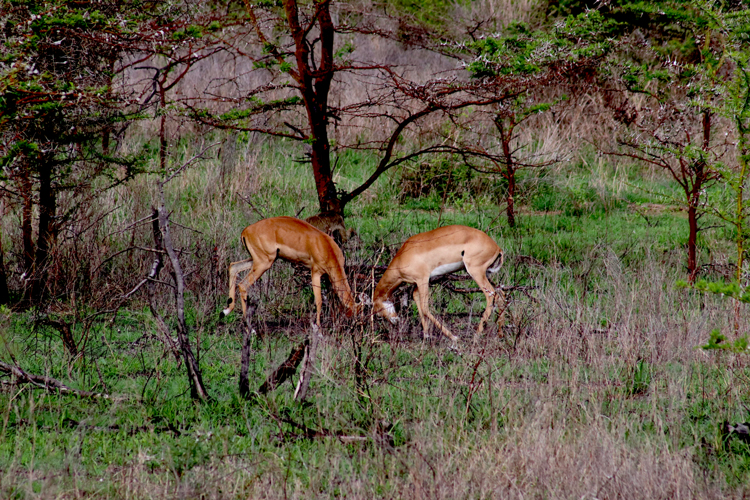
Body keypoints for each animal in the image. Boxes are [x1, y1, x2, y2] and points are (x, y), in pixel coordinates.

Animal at [222, 217, 360, 326]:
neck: (326, 247)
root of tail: (246, 231)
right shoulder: (315, 272)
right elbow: (319, 301)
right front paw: (319, 327)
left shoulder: (327, 277)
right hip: (263, 264)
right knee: (243, 284)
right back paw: (249, 327)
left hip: (256, 261)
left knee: (233, 267)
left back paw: (226, 311)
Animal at [374, 226, 508, 340]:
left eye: (379, 310)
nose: (394, 321)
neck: (403, 256)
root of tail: (497, 248)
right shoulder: (418, 283)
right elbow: (416, 298)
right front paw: (426, 335)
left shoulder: (422, 279)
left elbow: (424, 308)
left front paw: (453, 337)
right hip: (487, 274)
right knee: (500, 293)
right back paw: (500, 334)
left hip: (476, 272)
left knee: (491, 295)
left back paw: (476, 336)